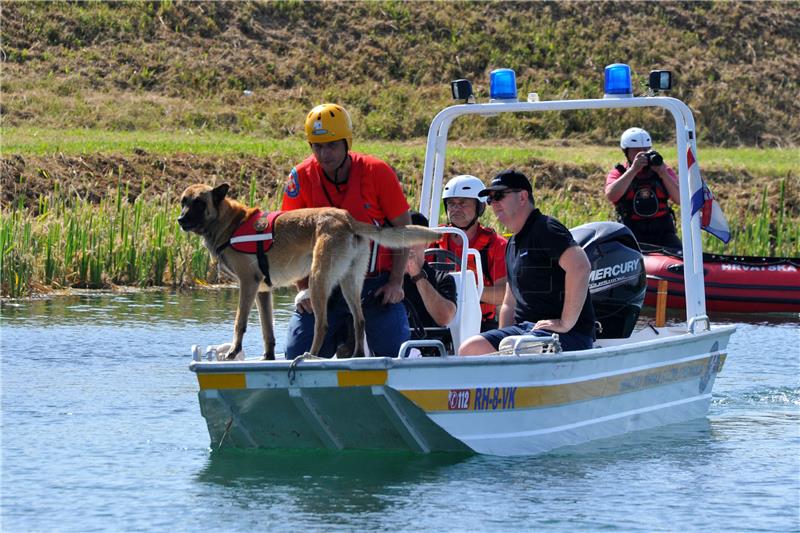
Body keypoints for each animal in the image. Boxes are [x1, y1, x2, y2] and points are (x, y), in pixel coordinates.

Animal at [178, 181, 438, 360]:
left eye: (199, 203)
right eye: (183, 201)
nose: (180, 220)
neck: (231, 224)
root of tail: (347, 219)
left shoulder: (247, 284)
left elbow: (239, 323)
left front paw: (233, 352)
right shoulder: (262, 292)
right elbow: (267, 332)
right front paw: (268, 358)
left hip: (317, 280)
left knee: (322, 325)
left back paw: (310, 356)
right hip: (349, 284)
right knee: (360, 320)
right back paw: (355, 355)